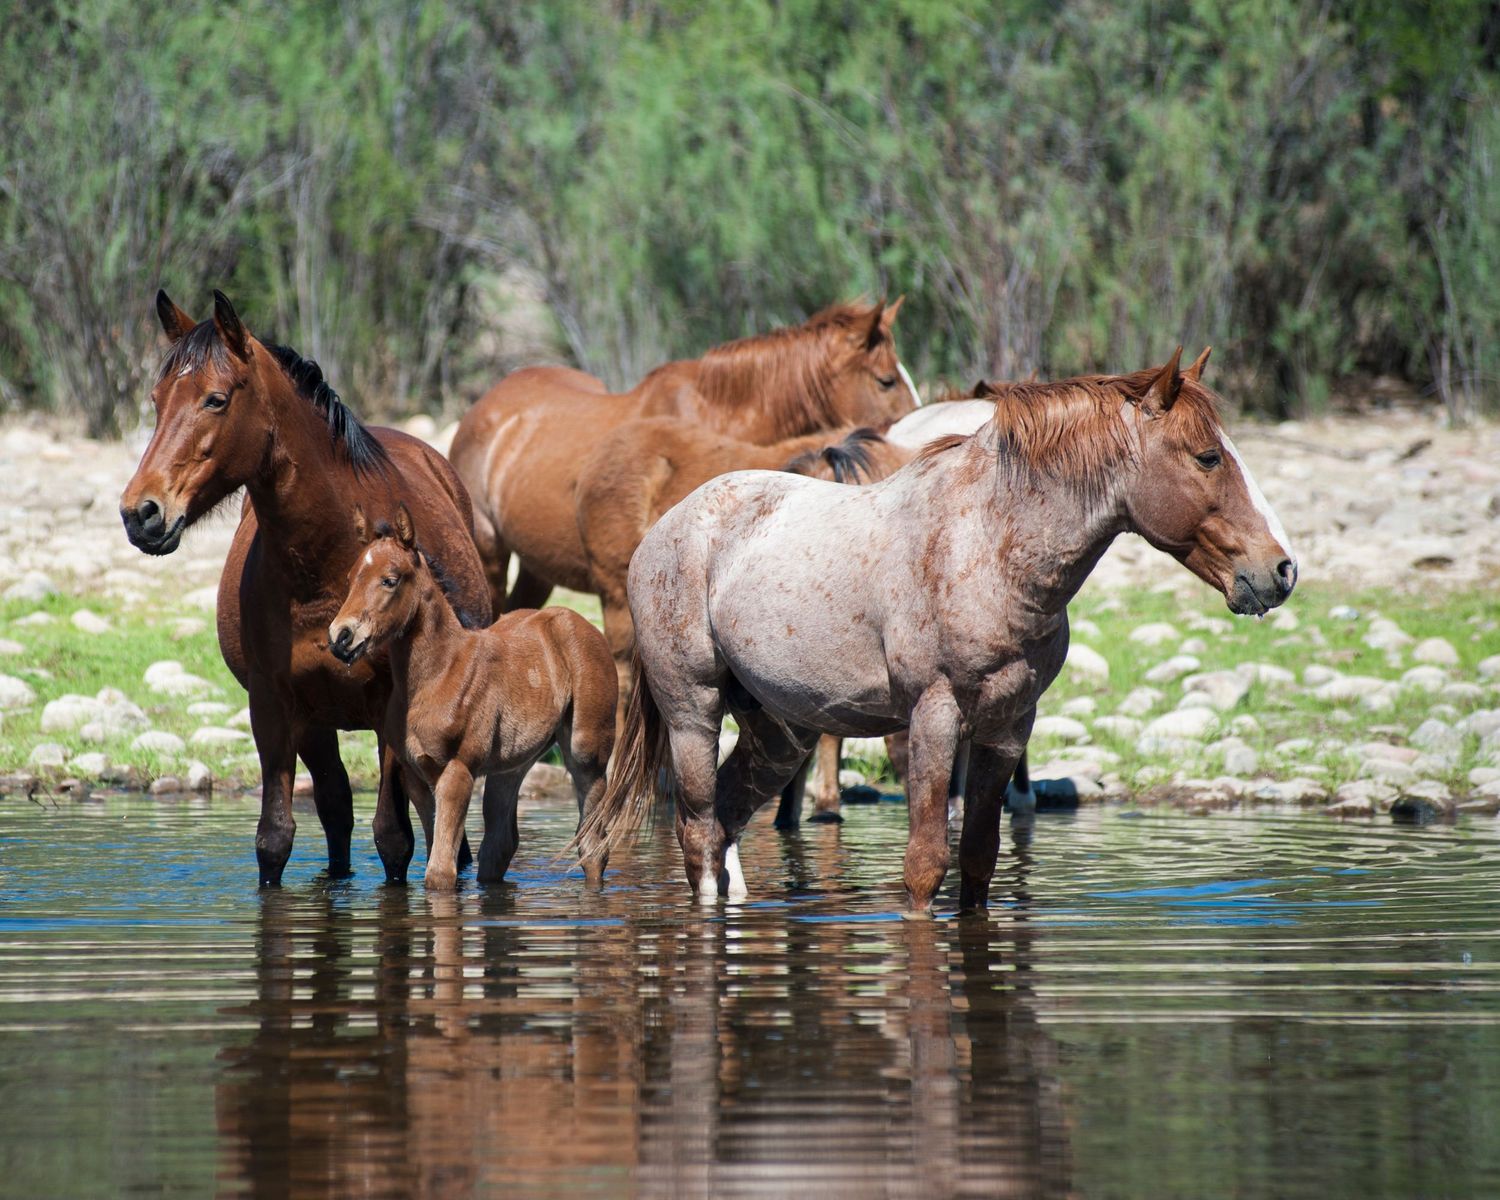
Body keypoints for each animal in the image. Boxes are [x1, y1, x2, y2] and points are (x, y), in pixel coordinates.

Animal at [120, 290, 492, 887]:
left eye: (215, 399)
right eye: (156, 400)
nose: (142, 513)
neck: (330, 564)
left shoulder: (391, 710)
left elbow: (394, 839)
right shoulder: (272, 705)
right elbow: (274, 839)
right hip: (316, 724)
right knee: (336, 808)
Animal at [327, 504, 617, 889]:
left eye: (390, 580)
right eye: (350, 578)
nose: (340, 637)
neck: (438, 674)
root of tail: (580, 624)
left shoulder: (457, 772)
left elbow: (440, 873)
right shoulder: (417, 778)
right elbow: (440, 857)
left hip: (587, 755)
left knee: (592, 846)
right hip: (511, 765)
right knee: (499, 845)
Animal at [577, 348, 1298, 914]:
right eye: (1208, 457)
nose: (1280, 570)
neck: (985, 547)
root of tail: (667, 526)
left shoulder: (1007, 729)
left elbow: (978, 861)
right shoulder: (933, 717)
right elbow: (925, 866)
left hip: (781, 733)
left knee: (726, 822)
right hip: (693, 713)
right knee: (699, 835)